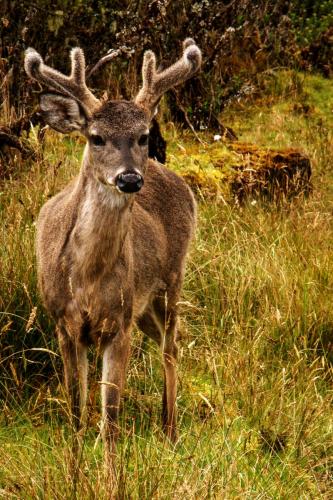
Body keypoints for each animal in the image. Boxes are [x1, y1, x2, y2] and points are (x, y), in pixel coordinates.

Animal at [24, 39, 201, 468]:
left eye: (143, 135)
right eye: (96, 137)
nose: (129, 178)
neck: (87, 280)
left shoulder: (118, 323)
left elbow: (111, 419)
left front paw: (110, 474)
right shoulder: (64, 322)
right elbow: (75, 411)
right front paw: (73, 470)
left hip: (171, 281)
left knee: (171, 348)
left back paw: (170, 432)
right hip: (143, 307)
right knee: (165, 341)